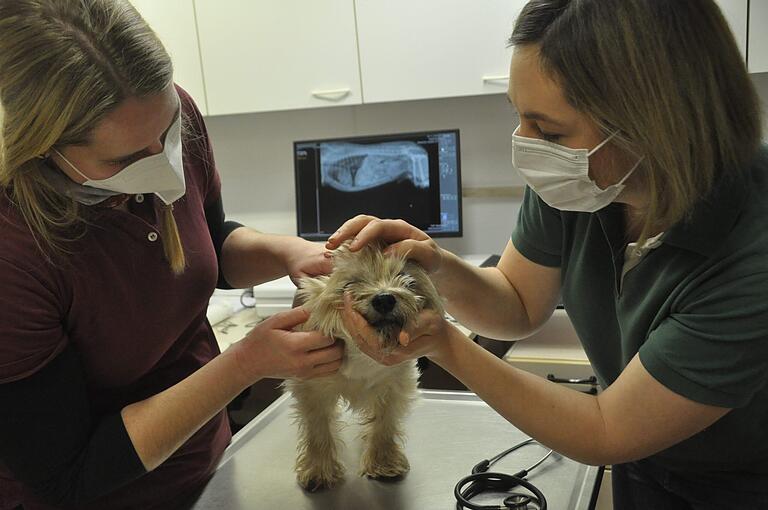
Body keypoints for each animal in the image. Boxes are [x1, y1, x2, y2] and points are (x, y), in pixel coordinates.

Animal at [284, 241, 444, 492]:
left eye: (406, 278)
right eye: (350, 284)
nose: (384, 299)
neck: (363, 356)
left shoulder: (394, 387)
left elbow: (384, 424)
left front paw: (383, 462)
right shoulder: (312, 387)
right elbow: (318, 428)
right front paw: (319, 469)